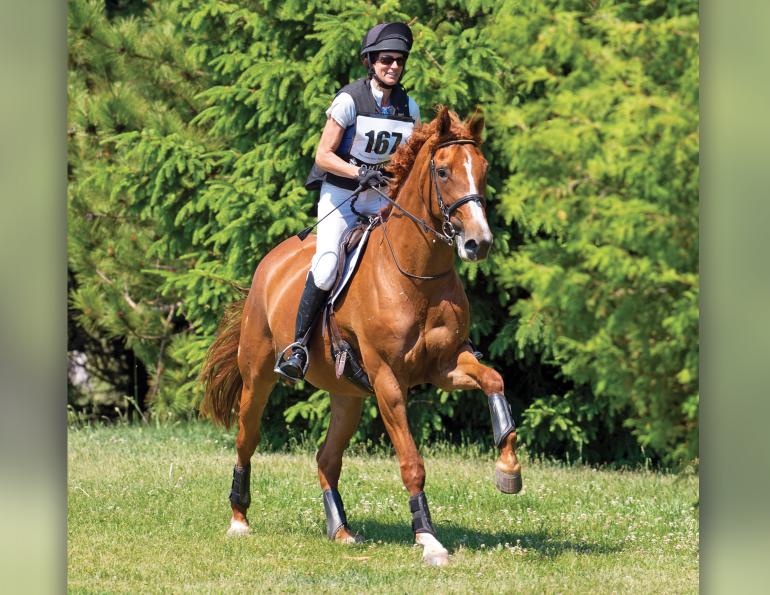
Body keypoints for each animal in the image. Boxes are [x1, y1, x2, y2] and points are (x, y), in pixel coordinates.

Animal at [200, 106, 522, 566]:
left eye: (483, 169)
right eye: (443, 171)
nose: (480, 243)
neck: (417, 273)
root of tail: (271, 261)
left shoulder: (445, 366)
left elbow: (494, 379)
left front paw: (508, 469)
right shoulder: (388, 379)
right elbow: (412, 462)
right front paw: (429, 539)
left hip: (348, 395)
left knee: (327, 457)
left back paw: (341, 530)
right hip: (259, 375)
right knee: (248, 438)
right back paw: (239, 519)